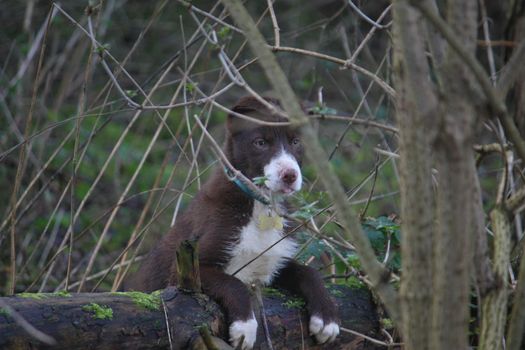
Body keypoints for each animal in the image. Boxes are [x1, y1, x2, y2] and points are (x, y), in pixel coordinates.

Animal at [129, 96, 338, 350]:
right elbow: (233, 283)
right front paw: (245, 327)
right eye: (260, 142)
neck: (260, 208)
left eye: (296, 141)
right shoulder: (184, 274)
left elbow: (308, 272)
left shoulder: (271, 263)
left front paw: (326, 319)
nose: (290, 175)